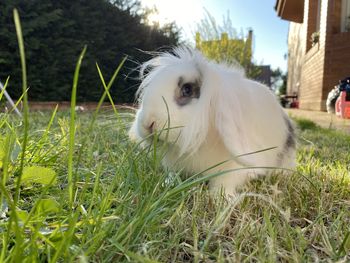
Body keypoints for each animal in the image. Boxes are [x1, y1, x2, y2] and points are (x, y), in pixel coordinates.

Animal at [129, 47, 296, 197]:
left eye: (187, 89)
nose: (147, 123)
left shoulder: (230, 169)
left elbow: (223, 184)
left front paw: (221, 199)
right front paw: (166, 184)